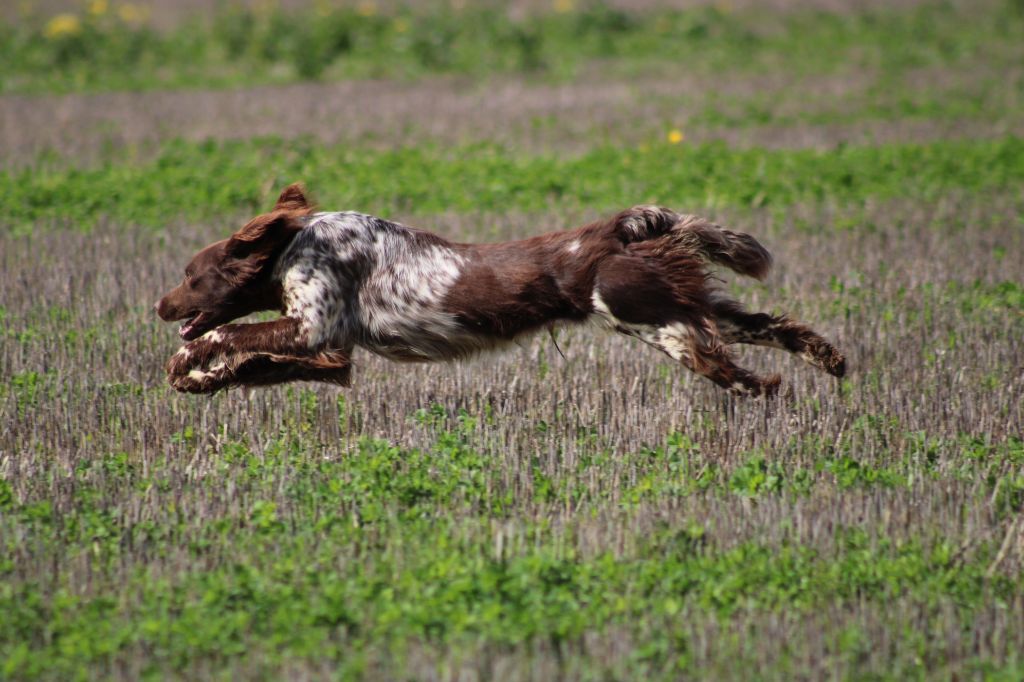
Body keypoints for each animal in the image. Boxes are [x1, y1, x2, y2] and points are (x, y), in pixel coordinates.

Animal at [155, 183, 843, 395]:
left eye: (189, 275)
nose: (159, 304)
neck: (296, 244)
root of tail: (614, 230)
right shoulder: (329, 355)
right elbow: (249, 362)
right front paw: (197, 380)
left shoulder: (313, 328)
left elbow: (227, 333)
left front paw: (187, 360)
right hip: (686, 304)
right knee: (773, 327)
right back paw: (830, 360)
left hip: (649, 316)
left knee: (726, 365)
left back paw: (766, 389)